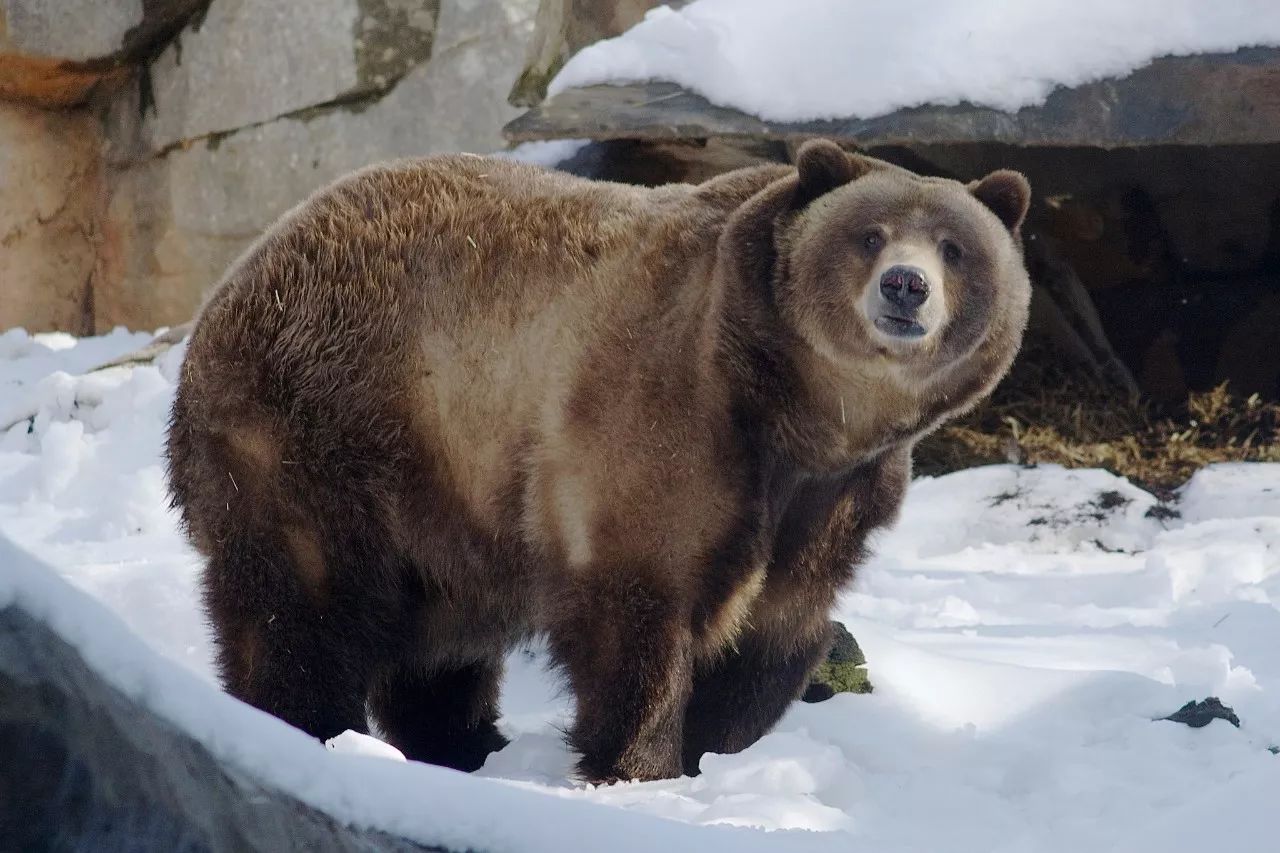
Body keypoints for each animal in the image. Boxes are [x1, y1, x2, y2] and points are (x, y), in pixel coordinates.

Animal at [167, 140, 1029, 783]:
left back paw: (463, 742)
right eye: (870, 234)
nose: (907, 286)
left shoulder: (837, 494)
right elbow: (637, 608)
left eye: (956, 247)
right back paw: (308, 723)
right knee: (303, 604)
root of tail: (238, 274)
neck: (797, 411)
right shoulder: (665, 414)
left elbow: (777, 624)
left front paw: (716, 750)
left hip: (441, 491)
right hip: (320, 421)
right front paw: (641, 761)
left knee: (439, 640)